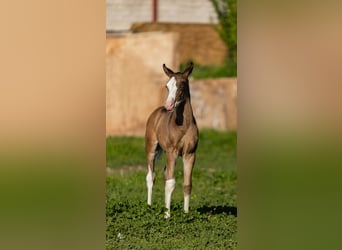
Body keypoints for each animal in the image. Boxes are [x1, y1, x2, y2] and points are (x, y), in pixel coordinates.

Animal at [144, 63, 198, 219]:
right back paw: (149, 206)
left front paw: (186, 213)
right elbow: (171, 183)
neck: (184, 125)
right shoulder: (172, 152)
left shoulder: (190, 154)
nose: (168, 105)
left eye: (181, 85)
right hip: (151, 149)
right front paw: (167, 216)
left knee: (164, 174)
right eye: (167, 86)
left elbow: (187, 184)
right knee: (151, 176)